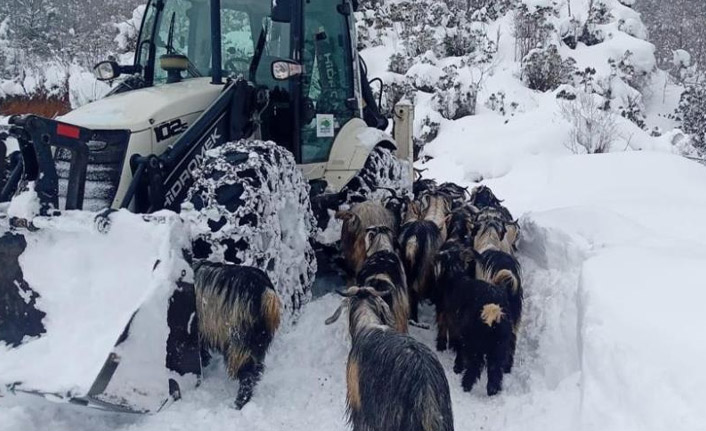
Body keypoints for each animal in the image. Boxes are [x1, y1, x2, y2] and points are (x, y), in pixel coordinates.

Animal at [194, 262, 282, 410]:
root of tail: (266, 292)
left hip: (239, 340)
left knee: (246, 373)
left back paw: (239, 403)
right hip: (259, 340)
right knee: (255, 369)